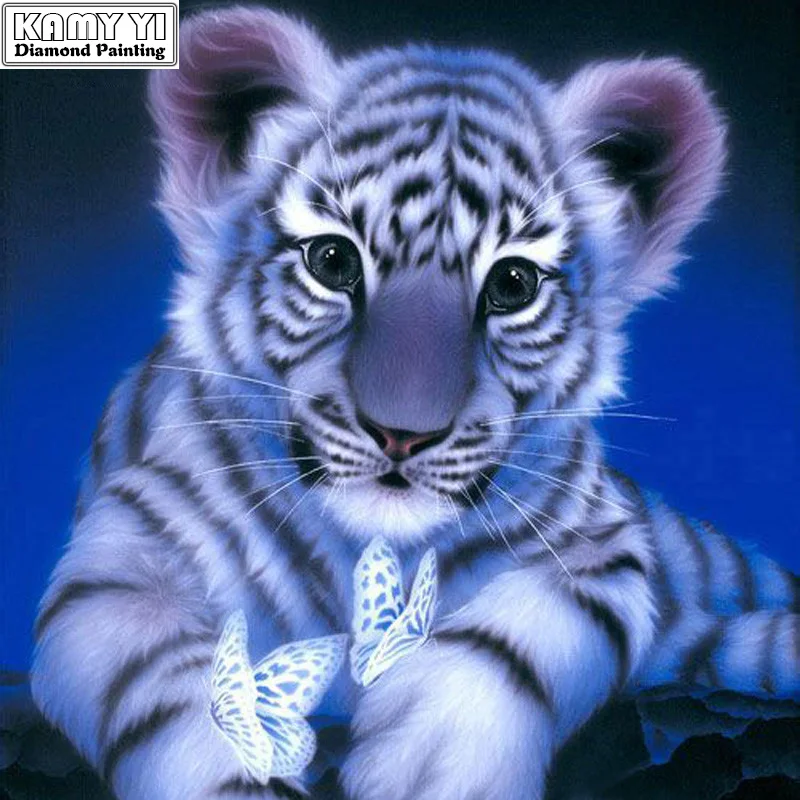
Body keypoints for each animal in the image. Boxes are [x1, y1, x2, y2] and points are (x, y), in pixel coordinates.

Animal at [31, 6, 799, 800]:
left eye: (513, 284)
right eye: (332, 261)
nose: (402, 434)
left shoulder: (604, 545)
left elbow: (519, 634)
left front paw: (435, 758)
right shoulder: (122, 559)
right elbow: (176, 687)